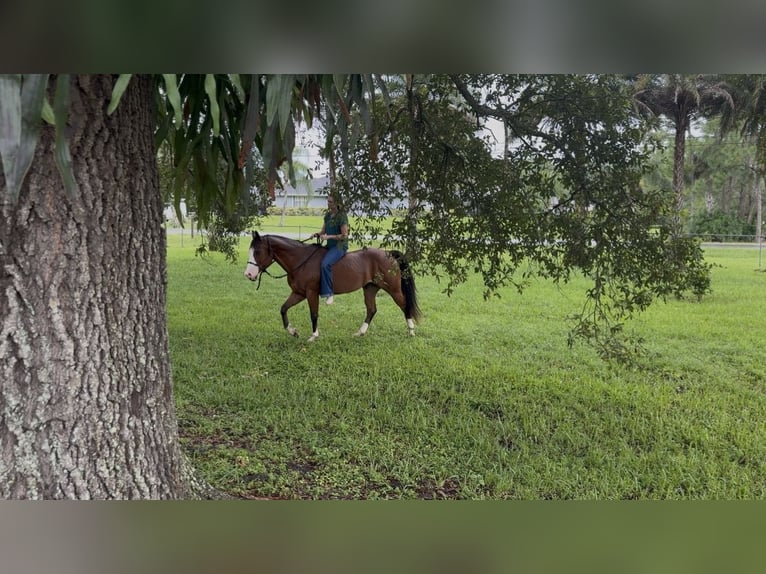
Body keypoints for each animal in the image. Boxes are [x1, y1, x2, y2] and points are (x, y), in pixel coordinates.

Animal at [243, 232, 421, 342]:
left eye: (257, 251)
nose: (248, 275)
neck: (301, 260)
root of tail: (389, 254)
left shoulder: (311, 293)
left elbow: (314, 314)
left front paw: (313, 336)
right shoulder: (298, 293)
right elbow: (283, 309)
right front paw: (293, 332)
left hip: (393, 290)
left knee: (404, 305)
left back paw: (411, 331)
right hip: (370, 289)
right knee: (371, 310)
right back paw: (360, 332)